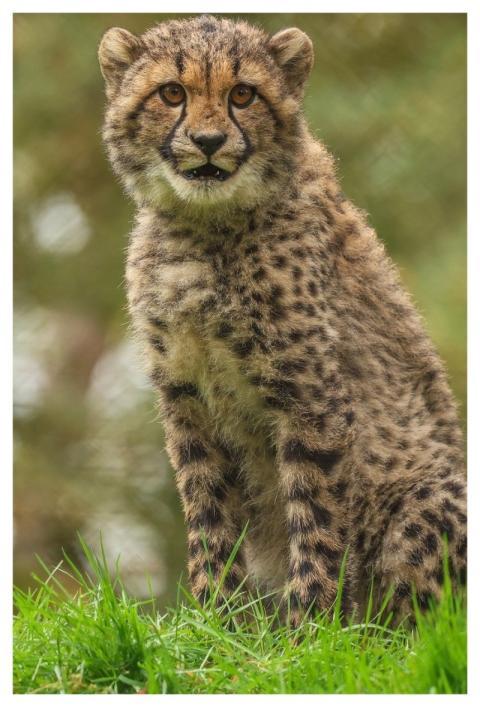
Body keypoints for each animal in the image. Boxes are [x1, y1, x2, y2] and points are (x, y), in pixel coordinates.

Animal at [98, 14, 466, 625]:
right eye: (171, 93)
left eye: (243, 95)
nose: (208, 142)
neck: (205, 226)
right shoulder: (186, 394)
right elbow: (208, 510)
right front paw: (216, 621)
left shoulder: (311, 395)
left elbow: (316, 516)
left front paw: (309, 627)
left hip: (428, 497)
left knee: (422, 625)